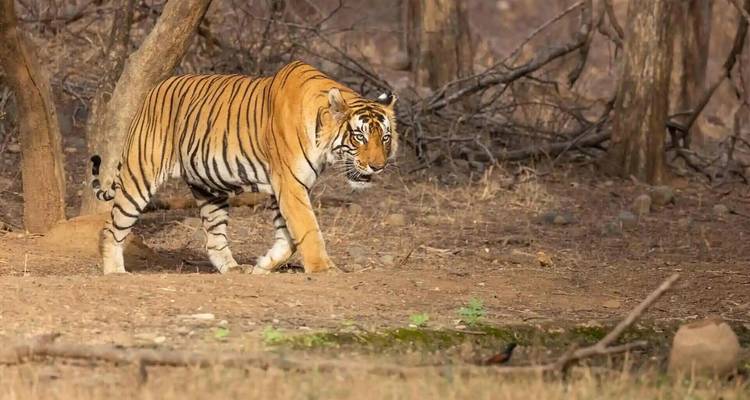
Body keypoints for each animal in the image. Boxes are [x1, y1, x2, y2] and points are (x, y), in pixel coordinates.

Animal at [90, 61, 398, 275]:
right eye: (359, 137)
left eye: (384, 137)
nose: (377, 166)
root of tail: (152, 91)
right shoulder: (290, 185)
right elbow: (308, 229)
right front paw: (325, 270)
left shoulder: (283, 189)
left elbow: (288, 238)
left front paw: (263, 265)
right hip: (140, 176)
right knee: (112, 227)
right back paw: (115, 272)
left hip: (208, 188)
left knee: (214, 239)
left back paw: (234, 269)